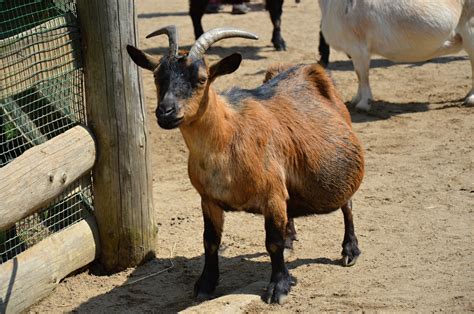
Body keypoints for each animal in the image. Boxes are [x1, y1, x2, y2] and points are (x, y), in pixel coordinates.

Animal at [126, 25, 362, 306]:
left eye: (202, 79)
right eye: (156, 76)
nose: (166, 112)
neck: (228, 140)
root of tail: (307, 68)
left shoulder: (272, 196)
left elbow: (272, 243)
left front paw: (278, 288)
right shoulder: (208, 199)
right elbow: (210, 241)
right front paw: (205, 284)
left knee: (348, 206)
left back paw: (350, 250)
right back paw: (291, 238)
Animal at [318, 0, 474, 111]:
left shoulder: (358, 48)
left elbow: (362, 75)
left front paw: (363, 104)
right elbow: (359, 76)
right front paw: (355, 99)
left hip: (470, 31)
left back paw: (471, 99)